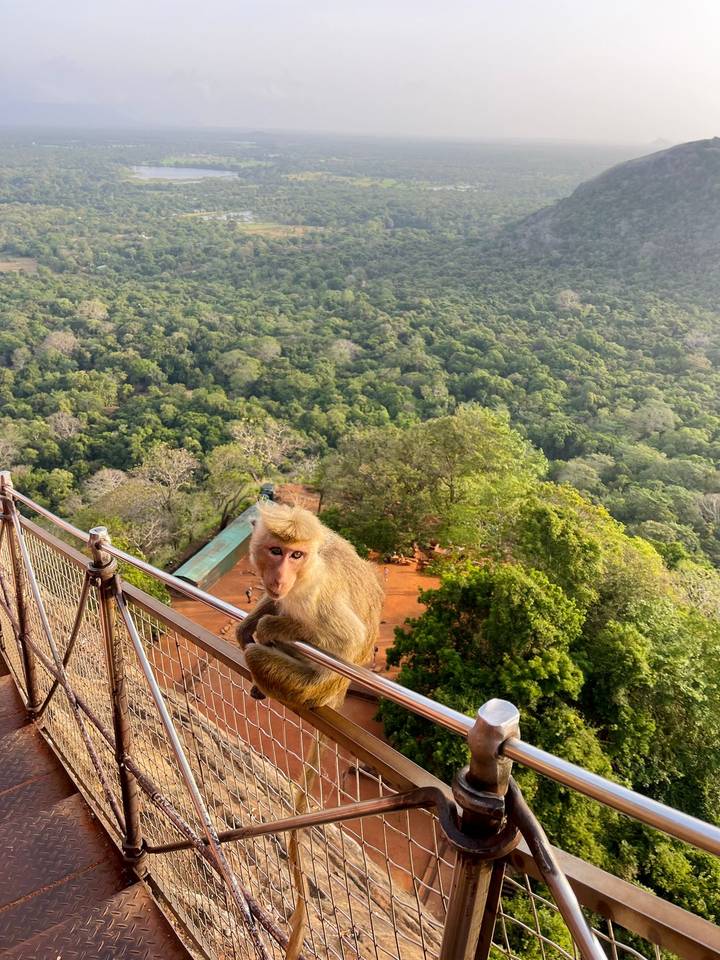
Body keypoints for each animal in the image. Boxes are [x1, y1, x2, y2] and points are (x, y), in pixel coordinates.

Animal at [236, 501, 384, 959]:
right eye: (275, 550)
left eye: (296, 555)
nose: (279, 576)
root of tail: (334, 697)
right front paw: (256, 615)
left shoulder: (316, 592)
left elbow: (343, 641)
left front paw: (273, 626)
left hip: (311, 688)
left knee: (262, 656)